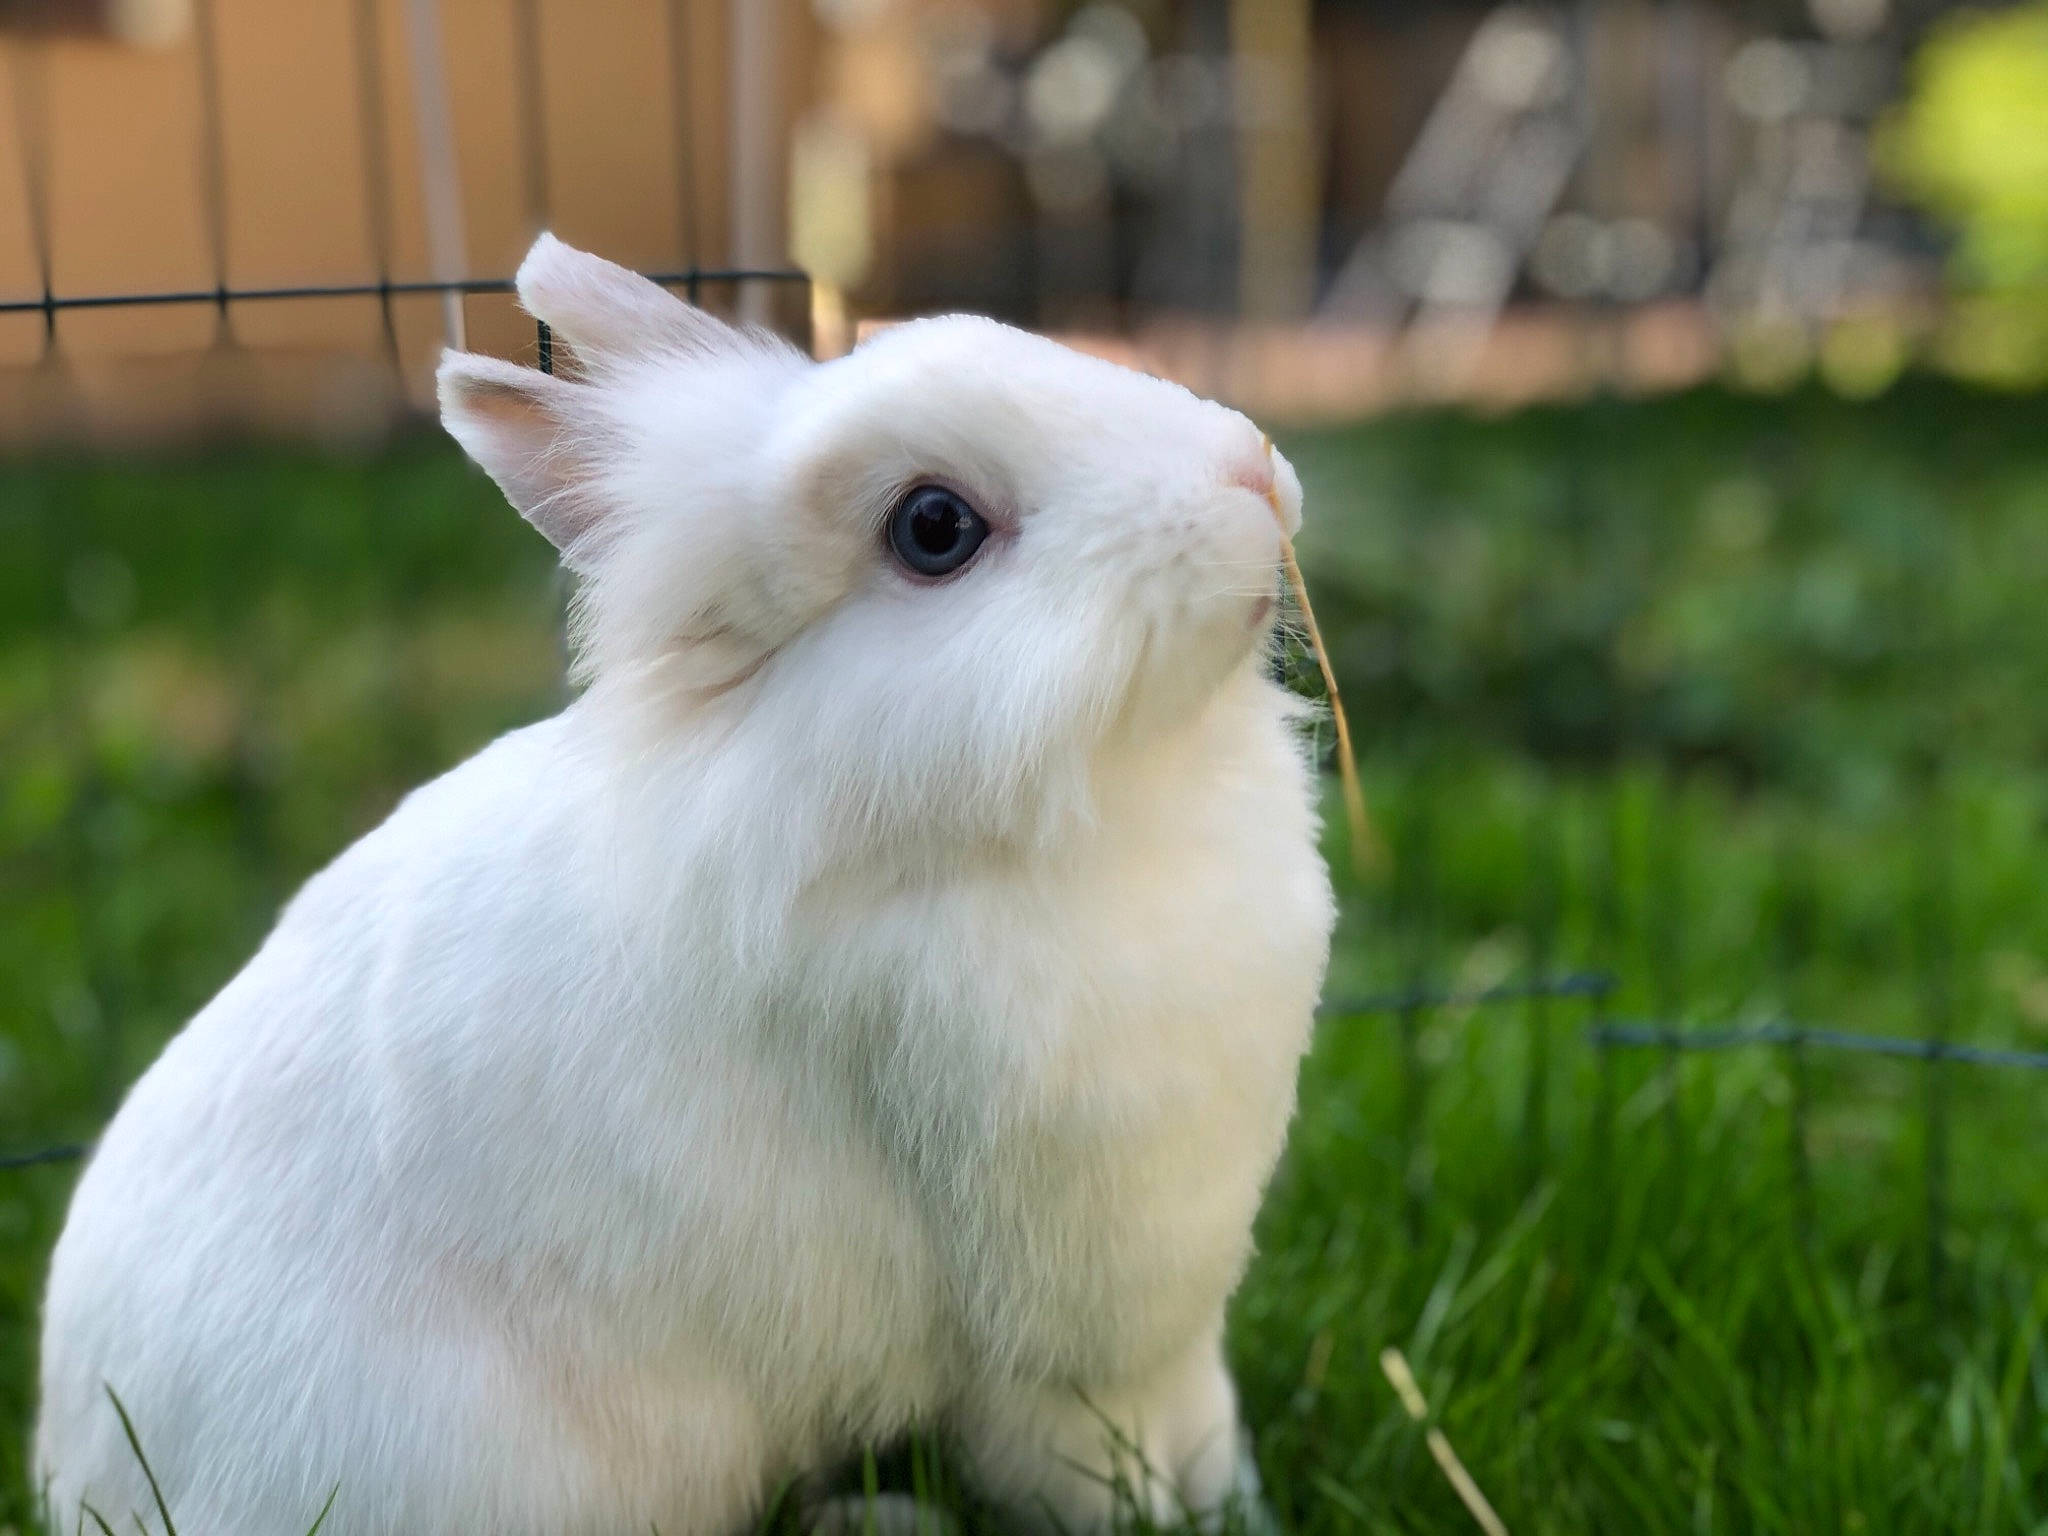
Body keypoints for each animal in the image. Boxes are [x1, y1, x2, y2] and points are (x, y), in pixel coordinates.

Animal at [34, 233, 1335, 1536]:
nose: (1249, 470)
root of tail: (81, 1484)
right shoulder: (1082, 1328)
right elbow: (1110, 1459)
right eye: (933, 528)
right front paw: (1209, 1514)